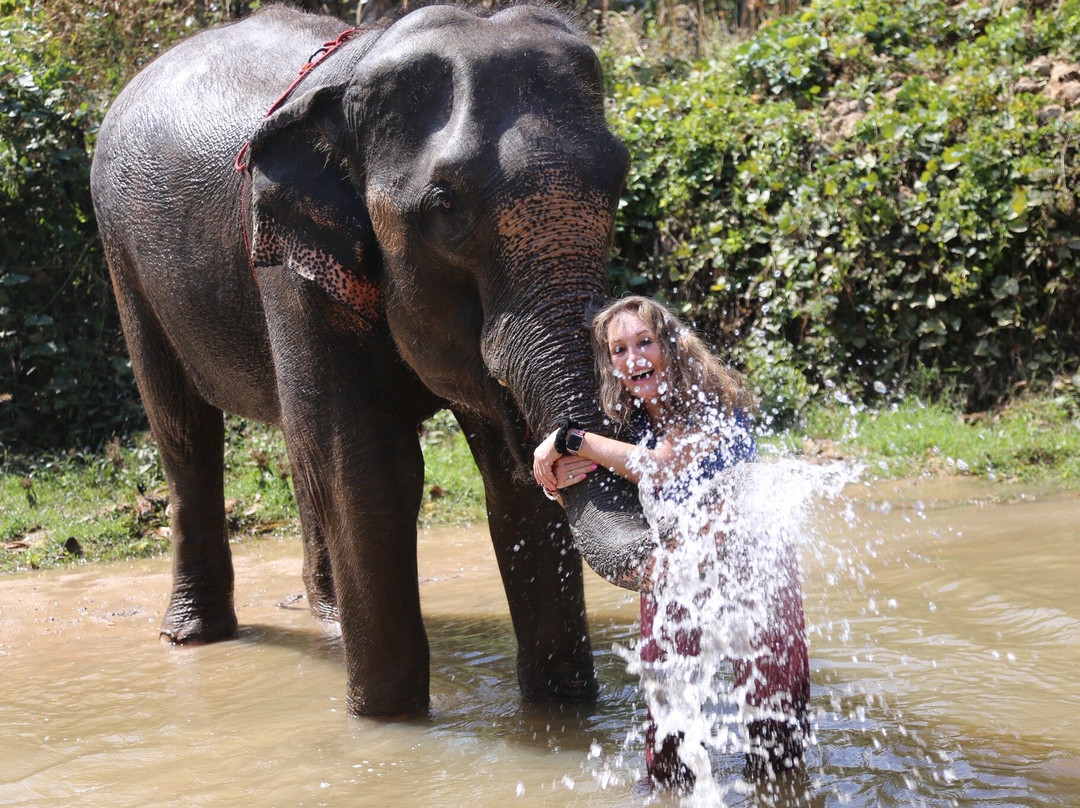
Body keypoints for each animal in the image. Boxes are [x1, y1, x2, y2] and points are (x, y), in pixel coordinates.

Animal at [90, 2, 654, 718]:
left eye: (620, 178)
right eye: (445, 205)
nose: (571, 441)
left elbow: (507, 478)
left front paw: (562, 711)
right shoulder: (290, 270)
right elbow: (370, 470)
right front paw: (387, 721)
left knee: (297, 447)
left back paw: (328, 617)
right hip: (124, 260)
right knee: (186, 434)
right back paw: (194, 637)